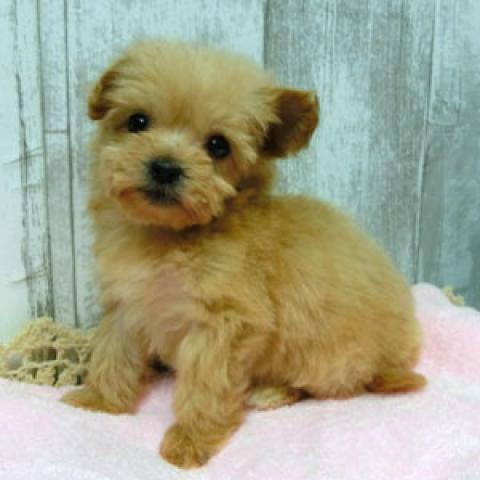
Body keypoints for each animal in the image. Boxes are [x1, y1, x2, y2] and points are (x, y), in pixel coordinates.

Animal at [61, 40, 426, 468]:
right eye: (137, 121)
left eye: (218, 146)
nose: (165, 168)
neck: (171, 236)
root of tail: (395, 355)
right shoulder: (126, 304)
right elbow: (112, 353)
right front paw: (98, 401)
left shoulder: (225, 324)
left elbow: (205, 385)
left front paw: (190, 440)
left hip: (326, 353)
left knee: (330, 385)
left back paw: (272, 391)